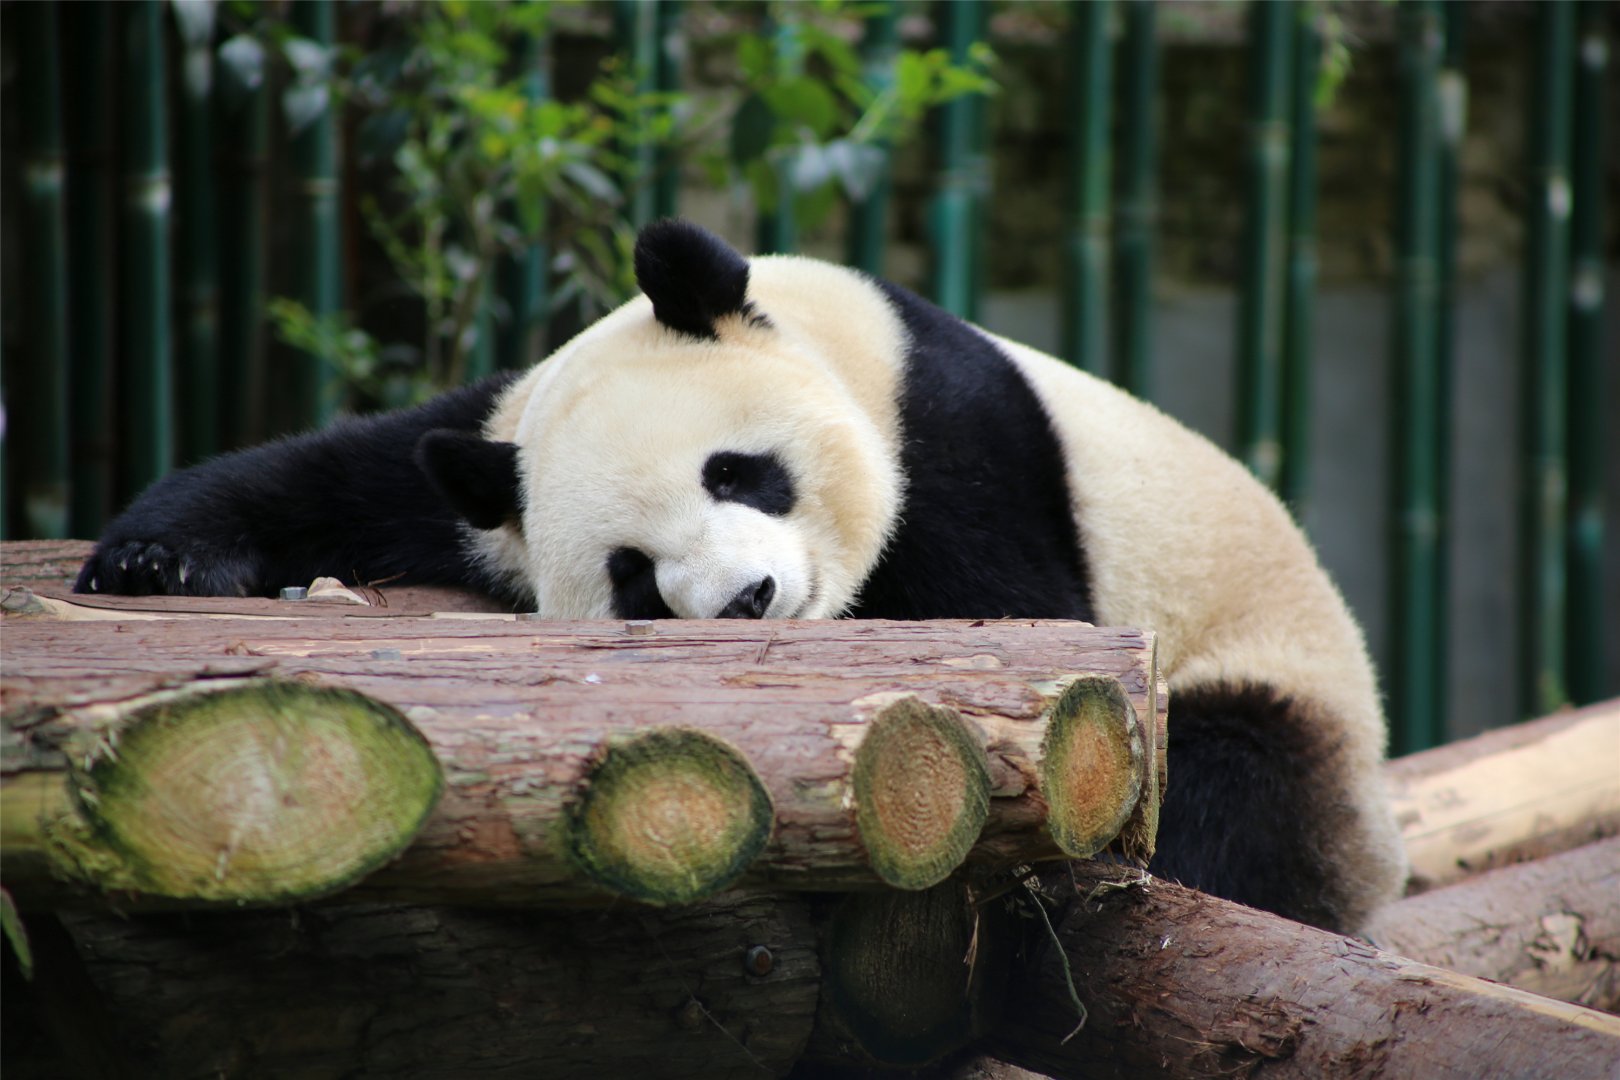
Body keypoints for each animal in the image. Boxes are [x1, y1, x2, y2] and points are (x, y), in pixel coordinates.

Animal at [77, 219, 1406, 933]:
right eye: (631, 573)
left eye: (739, 473)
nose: (749, 603)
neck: (836, 335)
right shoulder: (496, 446)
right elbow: (353, 473)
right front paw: (152, 555)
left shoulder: (957, 440)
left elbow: (1014, 612)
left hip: (1277, 683)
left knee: (1233, 791)